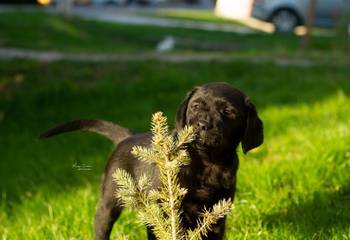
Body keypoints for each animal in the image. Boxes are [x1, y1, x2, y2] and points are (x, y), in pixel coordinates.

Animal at [39, 81, 262, 239]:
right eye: (196, 106)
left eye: (229, 112)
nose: (202, 125)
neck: (207, 161)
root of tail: (127, 137)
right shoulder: (167, 209)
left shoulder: (217, 214)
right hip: (110, 201)